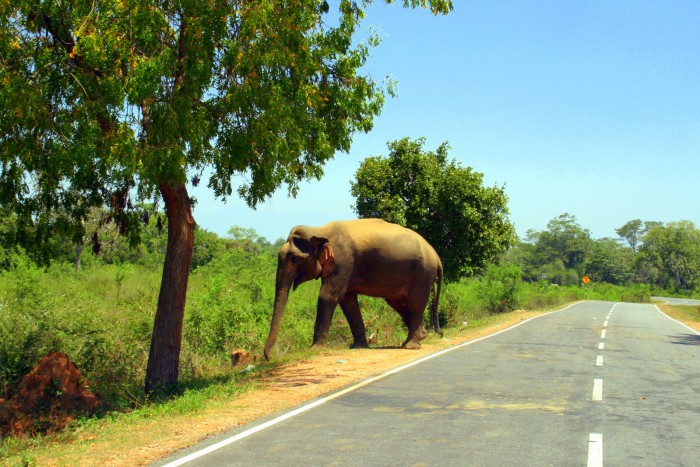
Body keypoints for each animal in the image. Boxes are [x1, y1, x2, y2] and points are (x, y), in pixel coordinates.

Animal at [262, 220, 442, 362]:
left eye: (294, 258)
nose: (269, 357)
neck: (320, 231)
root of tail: (436, 256)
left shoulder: (342, 263)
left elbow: (328, 296)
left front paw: (315, 349)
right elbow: (347, 301)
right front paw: (358, 346)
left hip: (423, 272)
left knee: (415, 303)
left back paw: (411, 345)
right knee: (398, 303)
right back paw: (422, 335)